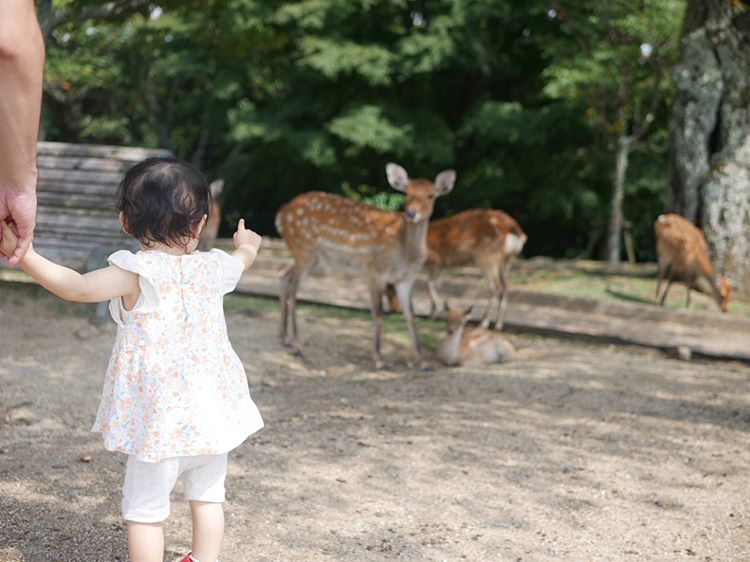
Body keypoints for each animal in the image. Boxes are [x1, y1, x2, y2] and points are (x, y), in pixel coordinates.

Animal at [274, 164, 456, 370]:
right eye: (407, 193)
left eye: (431, 195)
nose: (411, 213)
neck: (406, 255)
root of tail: (281, 214)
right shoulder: (375, 271)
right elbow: (378, 311)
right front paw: (378, 359)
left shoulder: (406, 278)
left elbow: (410, 313)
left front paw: (424, 362)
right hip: (304, 249)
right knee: (293, 288)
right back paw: (297, 342)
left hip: (310, 258)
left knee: (284, 279)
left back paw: (285, 337)